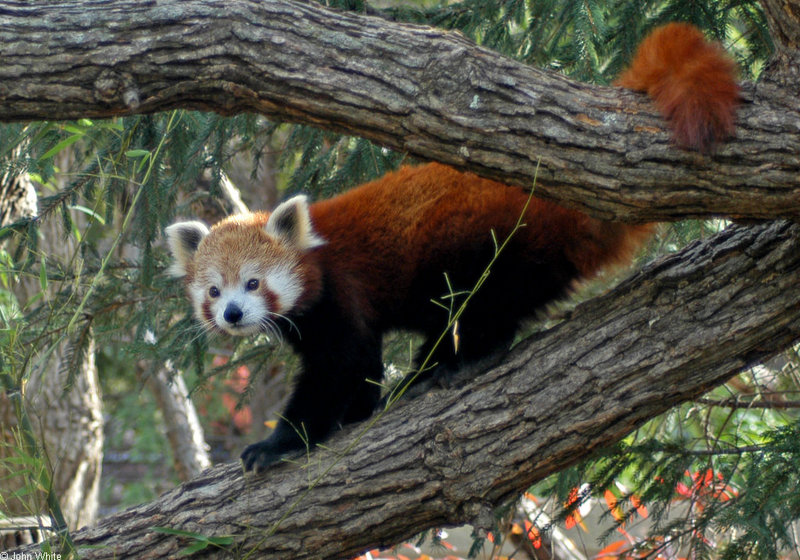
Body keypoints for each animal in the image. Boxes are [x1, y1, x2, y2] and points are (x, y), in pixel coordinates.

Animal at [164, 23, 736, 472]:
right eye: (214, 291)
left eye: (253, 282)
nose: (233, 314)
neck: (316, 255)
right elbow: (361, 365)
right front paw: (356, 413)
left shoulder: (342, 293)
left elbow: (338, 368)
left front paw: (280, 444)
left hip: (494, 244)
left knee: (487, 303)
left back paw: (457, 363)